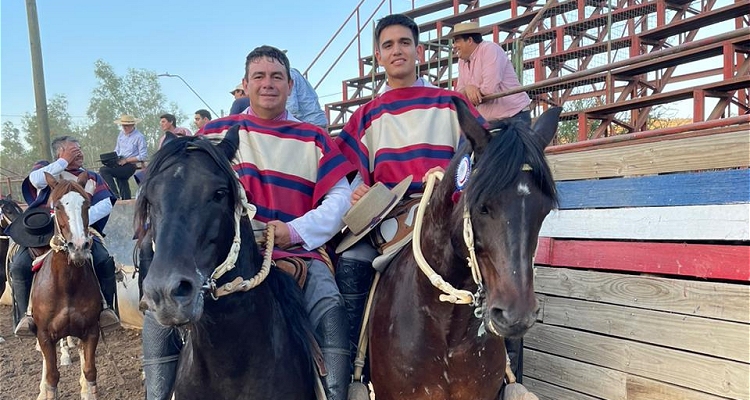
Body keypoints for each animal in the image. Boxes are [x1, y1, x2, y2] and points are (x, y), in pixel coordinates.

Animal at [33, 173, 103, 400]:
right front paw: (46, 390)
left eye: (86, 204)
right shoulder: (45, 335)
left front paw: (87, 390)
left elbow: (90, 370)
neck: (66, 286)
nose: (79, 246)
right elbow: (52, 376)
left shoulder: (91, 330)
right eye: (57, 206)